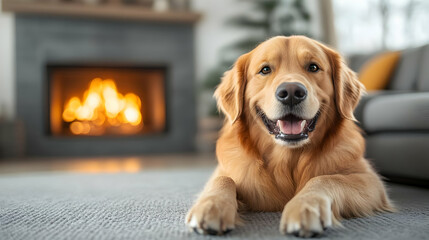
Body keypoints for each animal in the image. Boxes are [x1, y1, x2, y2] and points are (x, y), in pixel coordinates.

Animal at [184, 36, 392, 238]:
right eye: (265, 69)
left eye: (313, 67)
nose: (291, 92)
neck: (287, 158)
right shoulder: (226, 171)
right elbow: (223, 180)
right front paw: (211, 205)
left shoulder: (370, 180)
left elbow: (325, 178)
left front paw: (305, 207)